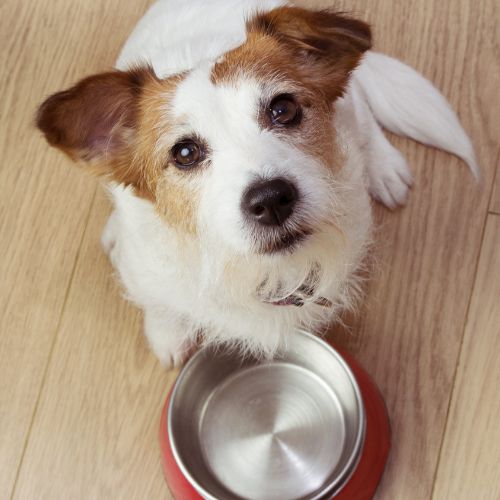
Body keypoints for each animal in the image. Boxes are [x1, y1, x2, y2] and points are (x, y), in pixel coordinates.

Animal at [37, 0, 478, 368]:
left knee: (366, 113)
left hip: (351, 102)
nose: (271, 200)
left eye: (283, 109)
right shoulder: (147, 270)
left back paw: (386, 168)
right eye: (184, 153)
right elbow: (160, 304)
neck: (254, 270)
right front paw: (167, 335)